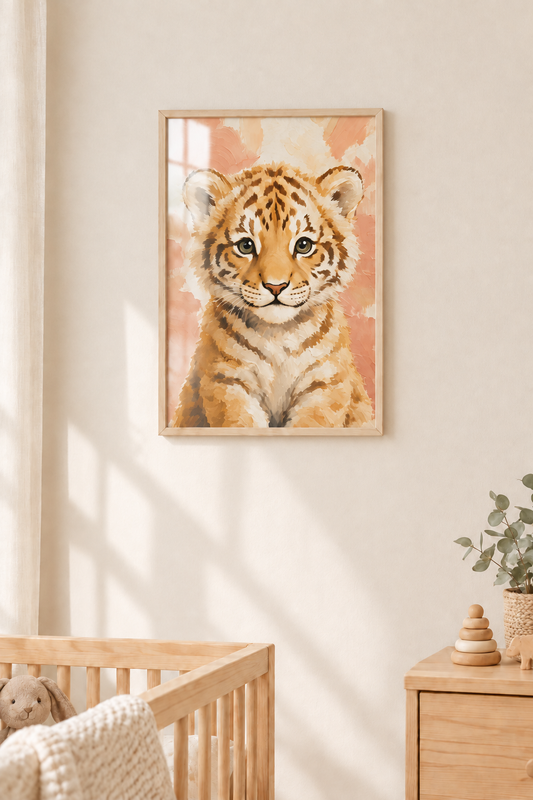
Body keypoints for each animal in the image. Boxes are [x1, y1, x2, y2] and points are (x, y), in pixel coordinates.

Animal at [170, 162, 373, 429]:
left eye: (303, 245)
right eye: (245, 246)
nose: (276, 286)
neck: (278, 335)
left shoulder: (325, 383)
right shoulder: (227, 380)